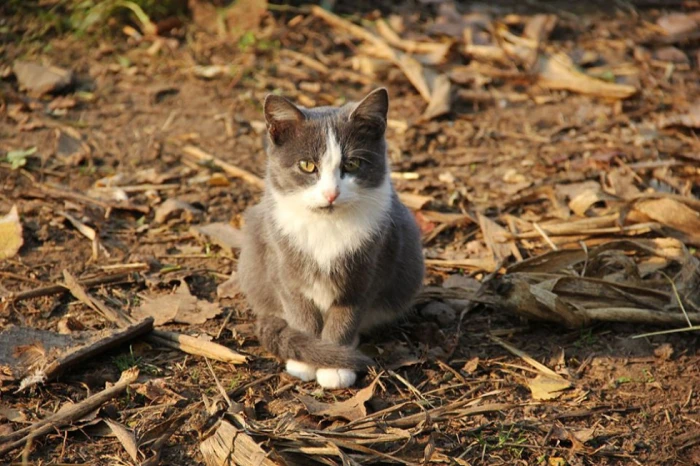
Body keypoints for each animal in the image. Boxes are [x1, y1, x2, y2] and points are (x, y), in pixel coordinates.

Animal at [238, 88, 424, 390]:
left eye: (353, 164)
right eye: (307, 165)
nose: (331, 193)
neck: (327, 225)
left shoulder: (370, 268)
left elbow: (345, 317)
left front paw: (335, 367)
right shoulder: (282, 264)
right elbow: (301, 313)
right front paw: (307, 359)